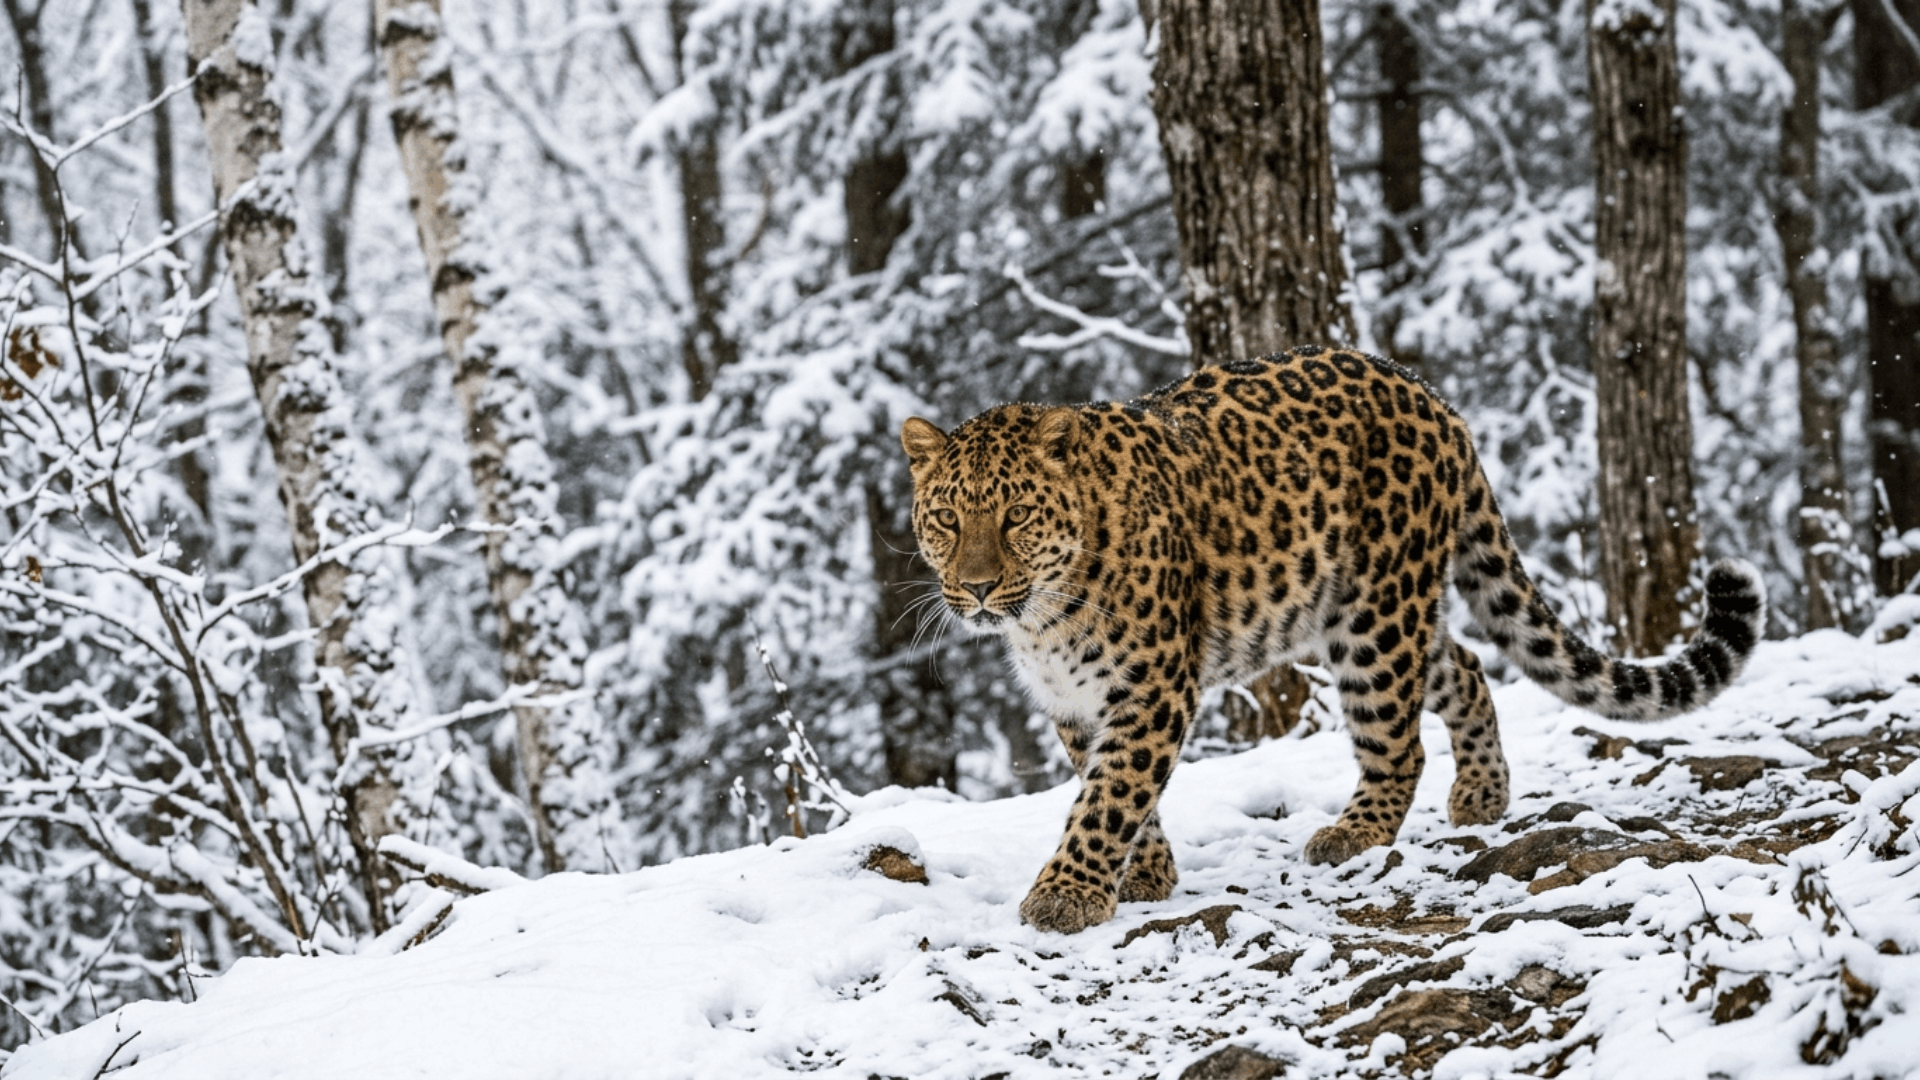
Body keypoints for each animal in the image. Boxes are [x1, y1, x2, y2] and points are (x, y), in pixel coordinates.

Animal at [900, 346, 1767, 935]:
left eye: (1016, 516)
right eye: (945, 518)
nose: (977, 588)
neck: (1042, 618)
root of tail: (1430, 395)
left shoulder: (1151, 687)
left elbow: (1112, 793)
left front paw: (1067, 893)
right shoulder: (1077, 702)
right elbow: (1113, 788)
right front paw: (1143, 874)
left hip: (1375, 616)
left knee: (1399, 739)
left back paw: (1355, 834)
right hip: (1354, 615)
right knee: (1463, 666)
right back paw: (1482, 794)